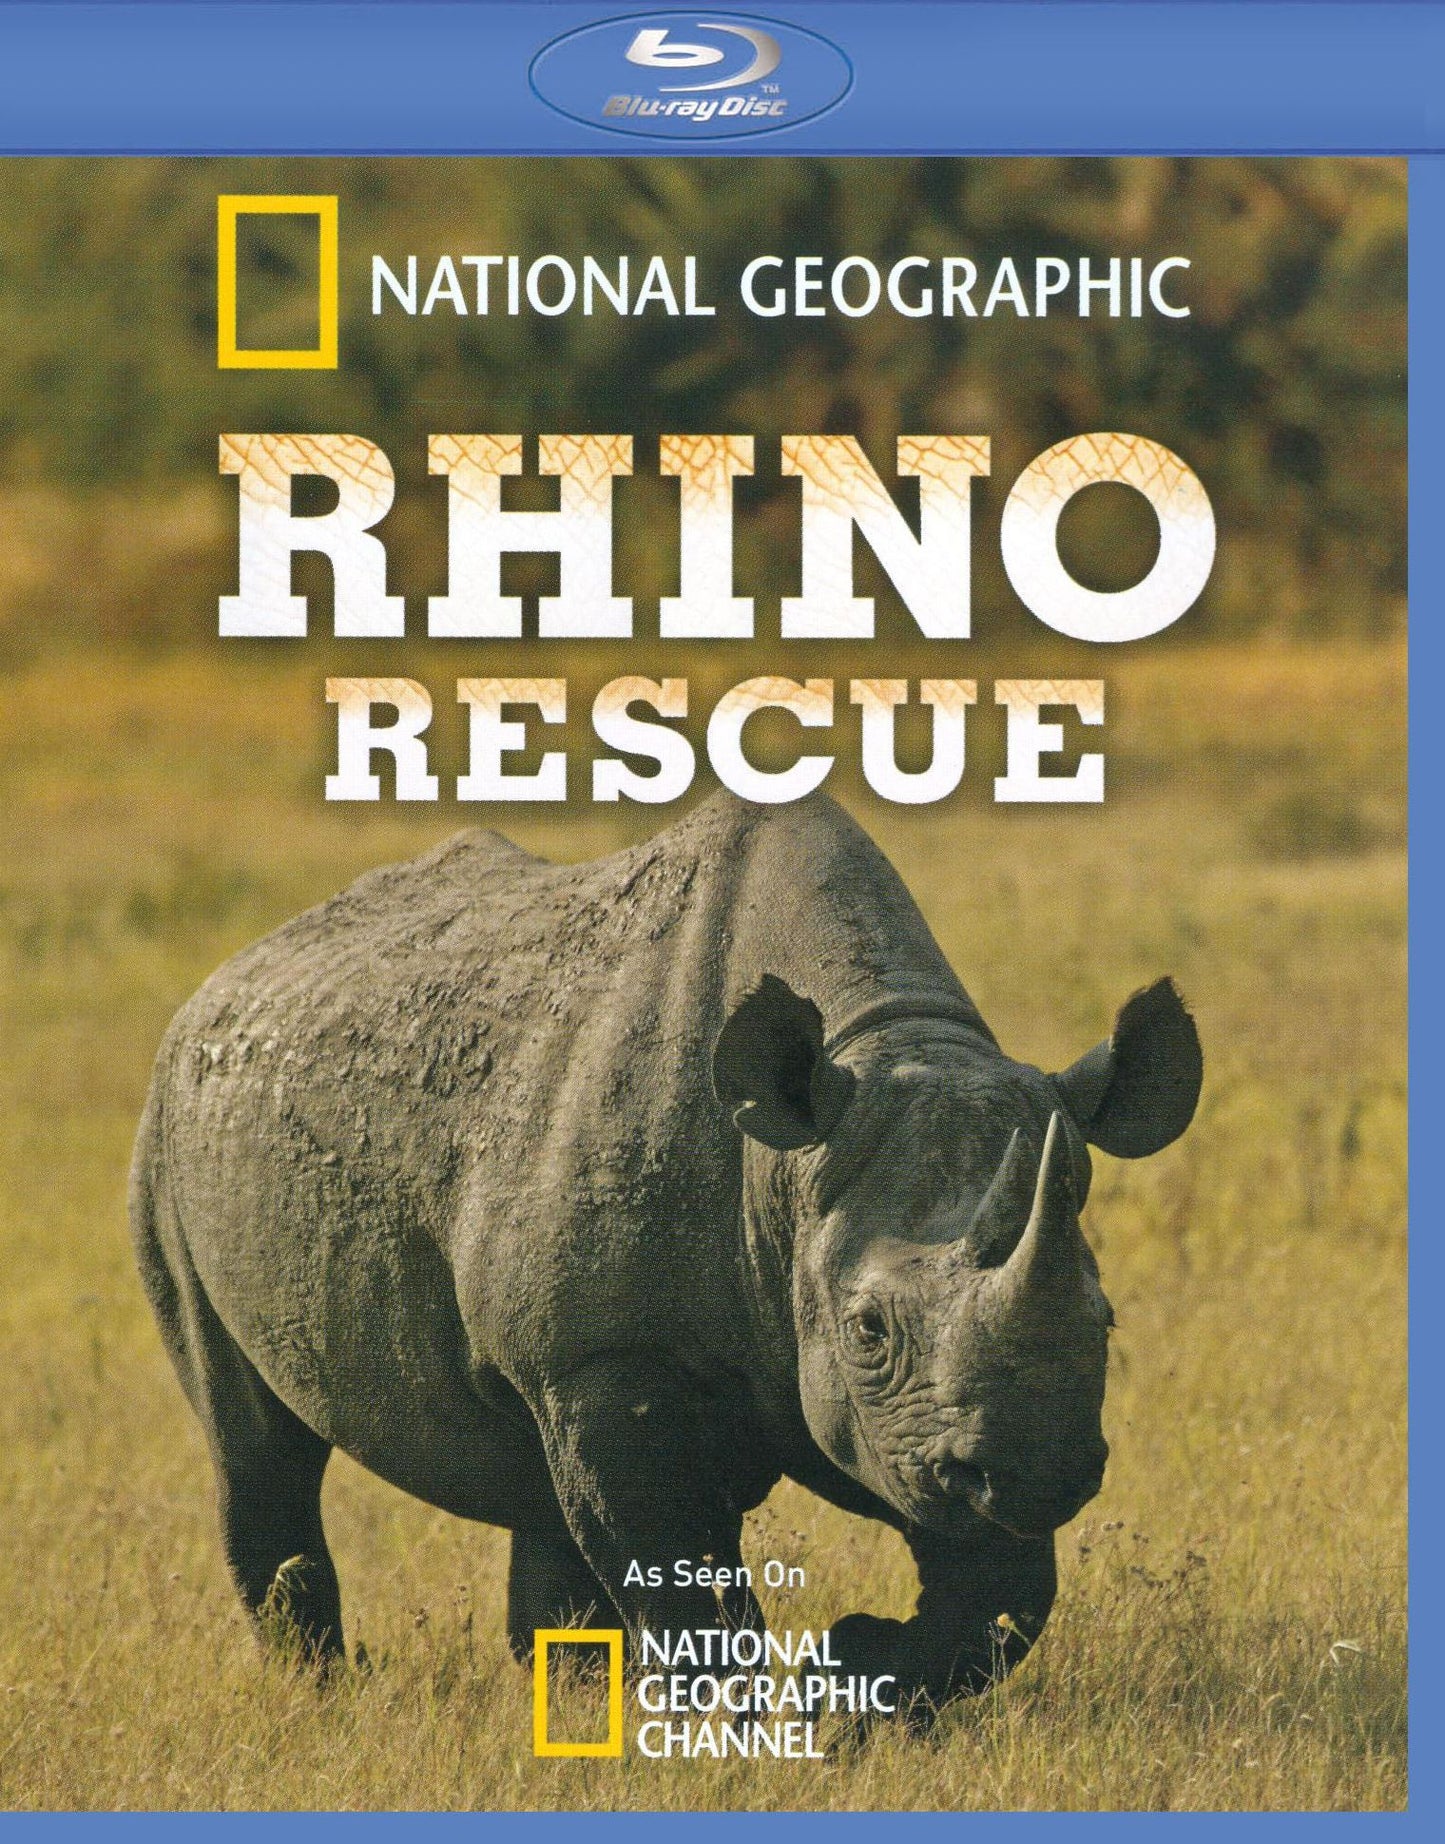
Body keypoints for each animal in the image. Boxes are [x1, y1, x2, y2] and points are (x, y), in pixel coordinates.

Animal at [130, 791, 1201, 1710]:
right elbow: (681, 1578)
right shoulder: (604, 1357)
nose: (1040, 1474)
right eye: (867, 1329)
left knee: (534, 1483)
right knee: (252, 1440)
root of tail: (223, 978)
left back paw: (560, 1696)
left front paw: (848, 1683)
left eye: (1106, 1318)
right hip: (171, 1130)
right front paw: (733, 1737)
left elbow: (1000, 1602)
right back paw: (325, 1692)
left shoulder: (936, 1421)